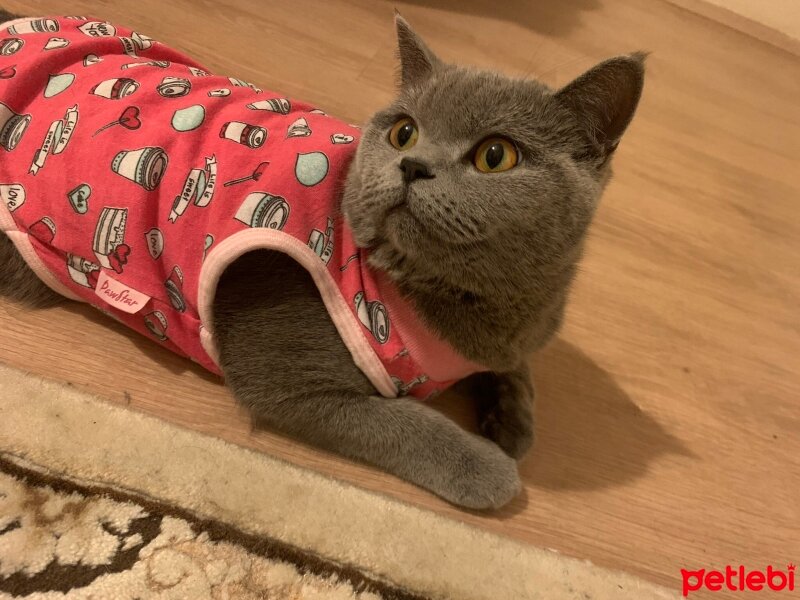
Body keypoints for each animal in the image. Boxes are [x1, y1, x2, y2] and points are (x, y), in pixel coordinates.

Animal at [0, 15, 644, 506]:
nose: (413, 165)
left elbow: (514, 366)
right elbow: (404, 423)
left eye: (495, 155)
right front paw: (486, 466)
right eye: (405, 132)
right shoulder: (291, 382)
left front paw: (512, 423)